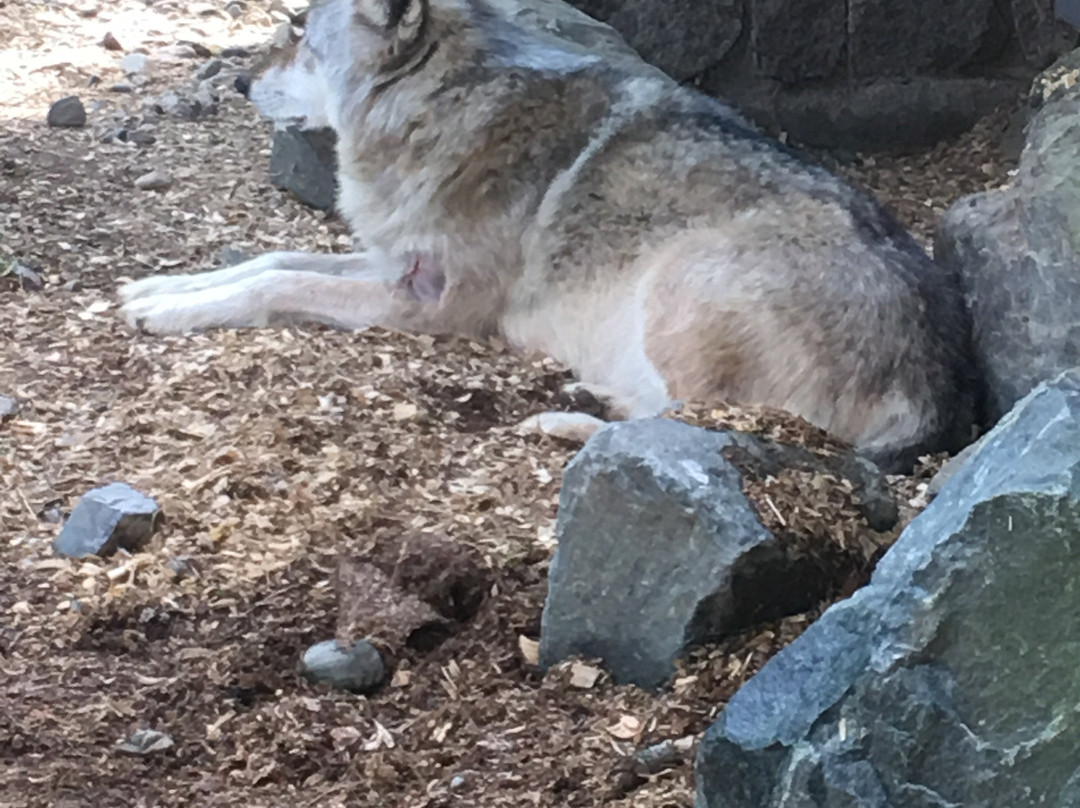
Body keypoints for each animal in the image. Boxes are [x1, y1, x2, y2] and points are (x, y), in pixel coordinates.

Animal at [119, 0, 977, 473]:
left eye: (299, 31)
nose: (237, 82)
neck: (438, 104)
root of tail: (940, 393)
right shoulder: (394, 261)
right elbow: (271, 258)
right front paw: (156, 290)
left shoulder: (430, 305)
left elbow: (278, 282)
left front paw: (168, 314)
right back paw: (583, 395)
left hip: (682, 280)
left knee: (693, 427)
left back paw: (564, 421)